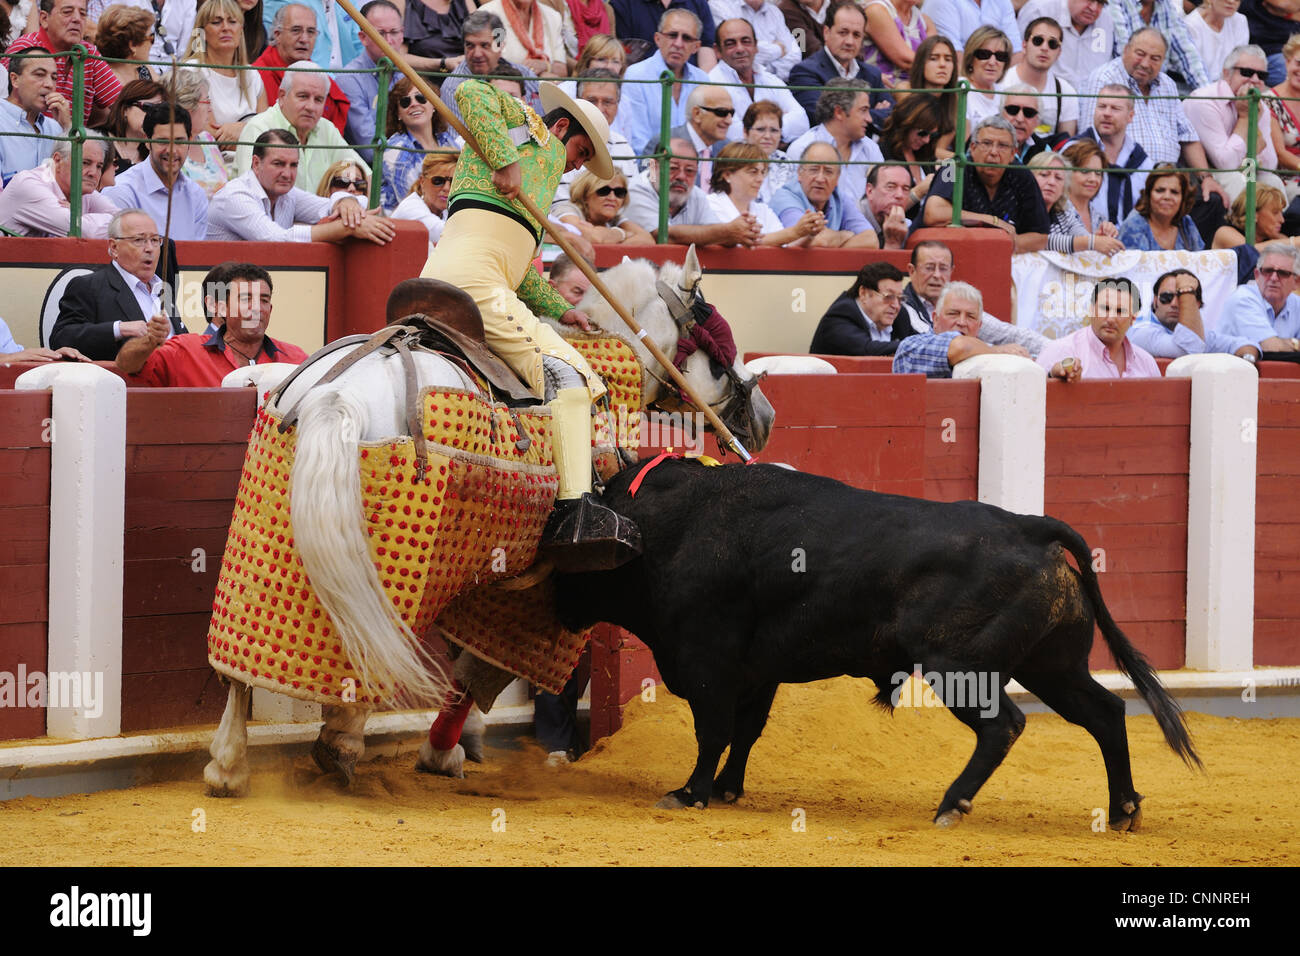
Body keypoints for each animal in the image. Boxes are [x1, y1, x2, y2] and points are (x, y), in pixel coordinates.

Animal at [203, 248, 775, 796]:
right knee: (373, 645)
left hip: (276, 536)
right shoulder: (539, 588)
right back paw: (338, 745)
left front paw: (457, 745)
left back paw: (228, 765)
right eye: (720, 340)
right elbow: (480, 669)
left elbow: (466, 666)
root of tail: (336, 395)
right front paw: (442, 751)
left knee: (245, 663)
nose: (765, 417)